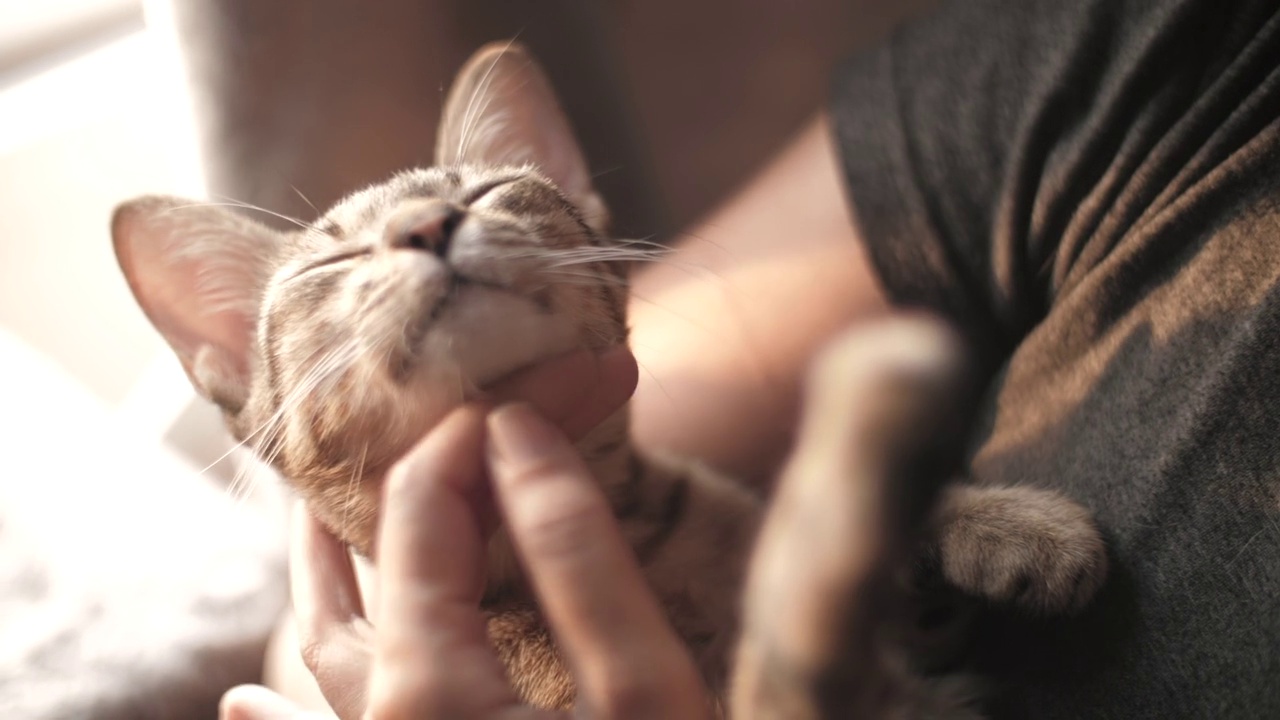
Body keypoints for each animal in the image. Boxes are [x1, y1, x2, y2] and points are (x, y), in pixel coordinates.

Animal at [112, 43, 1111, 712]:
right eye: (332, 263)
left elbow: (781, 524)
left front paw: (996, 522)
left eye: (486, 193)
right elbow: (799, 633)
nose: (427, 226)